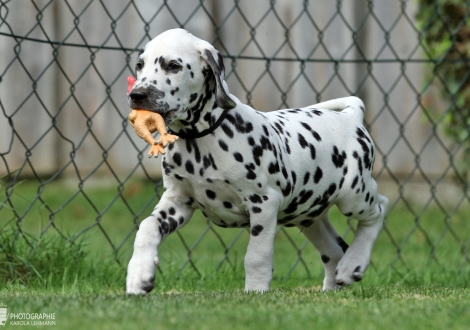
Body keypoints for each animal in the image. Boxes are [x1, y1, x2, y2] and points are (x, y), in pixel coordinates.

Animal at [126, 29, 390, 294]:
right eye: (139, 65)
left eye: (173, 65)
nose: (137, 95)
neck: (201, 140)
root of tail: (350, 116)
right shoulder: (177, 202)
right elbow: (146, 227)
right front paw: (139, 274)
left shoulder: (263, 204)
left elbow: (256, 256)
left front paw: (256, 292)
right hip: (308, 215)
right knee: (334, 251)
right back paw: (334, 283)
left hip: (353, 195)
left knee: (379, 208)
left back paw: (354, 263)